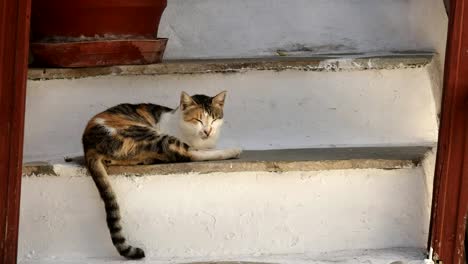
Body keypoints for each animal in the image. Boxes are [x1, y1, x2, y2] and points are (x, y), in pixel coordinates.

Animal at [81, 90, 241, 258]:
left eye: (214, 119)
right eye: (197, 119)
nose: (207, 131)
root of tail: (88, 144)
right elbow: (195, 151)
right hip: (146, 133)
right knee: (188, 153)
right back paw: (232, 151)